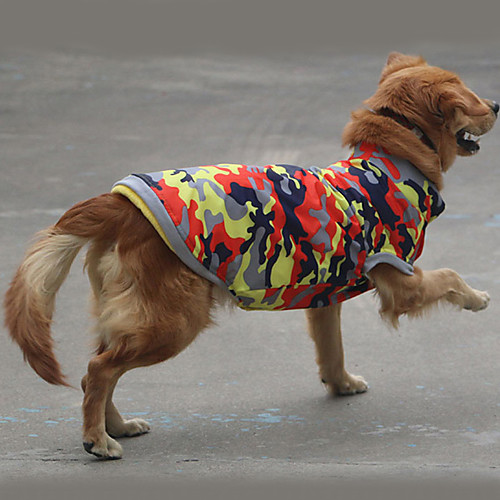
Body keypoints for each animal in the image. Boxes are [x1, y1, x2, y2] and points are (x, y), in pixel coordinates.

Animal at [2, 52, 496, 458]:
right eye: (469, 98)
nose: (495, 105)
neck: (390, 160)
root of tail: (121, 204)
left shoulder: (324, 296)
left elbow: (331, 349)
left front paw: (340, 384)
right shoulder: (399, 278)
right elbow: (451, 275)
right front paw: (477, 298)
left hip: (134, 314)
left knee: (97, 372)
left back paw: (116, 427)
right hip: (173, 321)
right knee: (100, 369)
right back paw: (97, 441)